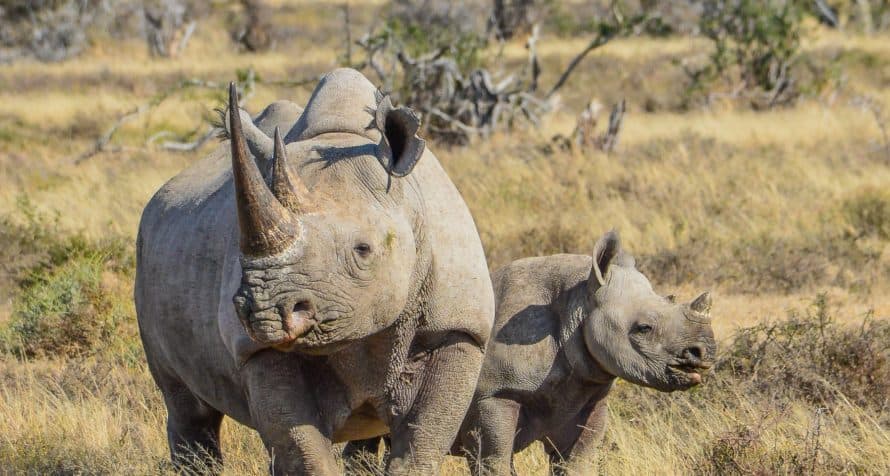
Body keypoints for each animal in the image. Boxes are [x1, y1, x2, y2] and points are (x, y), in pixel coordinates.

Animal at [135, 68, 494, 475]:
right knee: (187, 406)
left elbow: (420, 446)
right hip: (148, 252)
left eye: (363, 250)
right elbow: (302, 450)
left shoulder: (458, 328)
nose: (264, 312)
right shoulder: (257, 350)